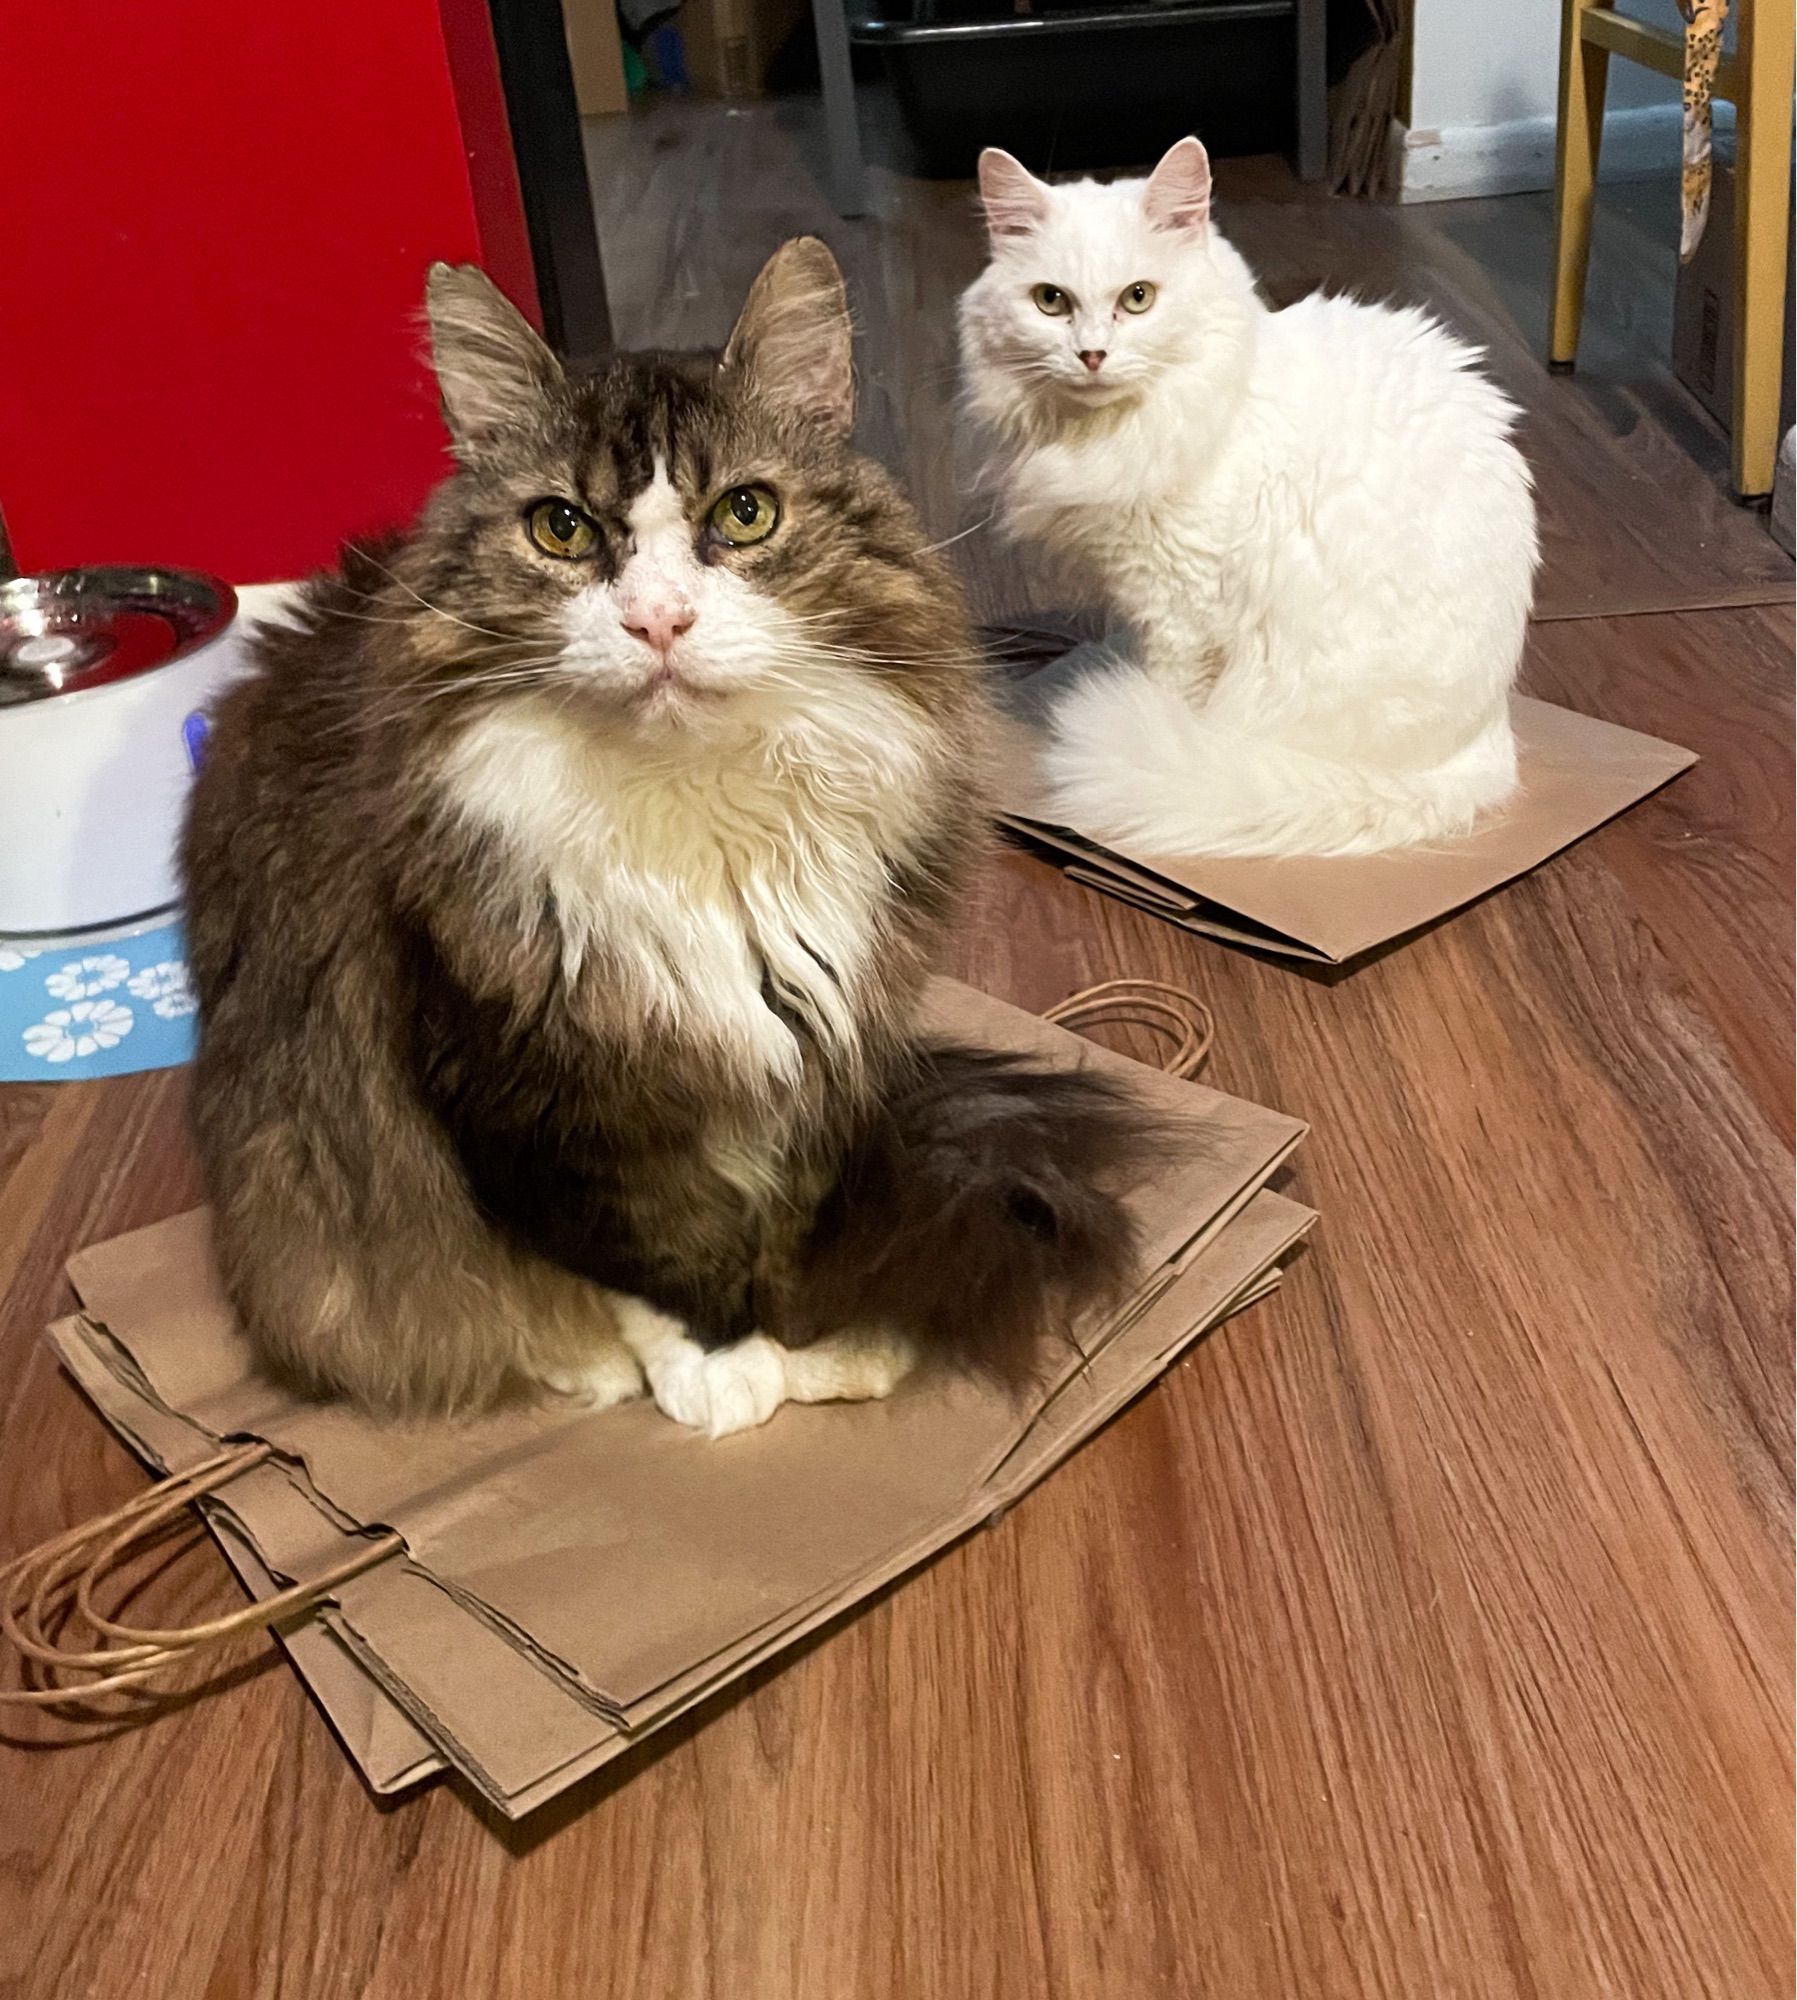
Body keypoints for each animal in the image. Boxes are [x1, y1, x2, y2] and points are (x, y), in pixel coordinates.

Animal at [186, 242, 1152, 1440]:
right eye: (560, 528)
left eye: (744, 513)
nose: (658, 622)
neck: (699, 817)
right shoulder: (524, 1087)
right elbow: (638, 1254)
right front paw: (720, 1360)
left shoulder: (819, 1046)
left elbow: (783, 1217)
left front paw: (805, 1336)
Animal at [960, 139, 1536, 860]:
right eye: (1050, 301)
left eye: (1138, 298)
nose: (1092, 355)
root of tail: (1487, 743)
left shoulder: (1179, 609)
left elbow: (1175, 693)